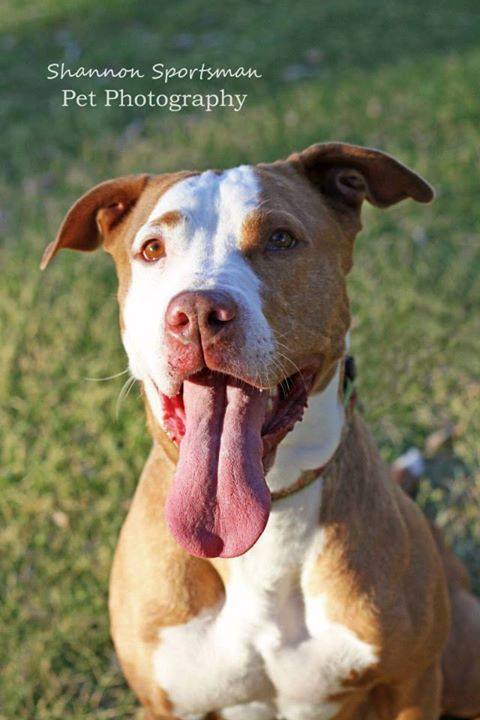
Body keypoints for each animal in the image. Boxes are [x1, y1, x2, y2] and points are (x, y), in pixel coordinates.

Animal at [42, 145, 480, 720]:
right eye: (153, 249)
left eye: (281, 239)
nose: (197, 312)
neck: (266, 523)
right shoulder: (164, 702)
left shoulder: (412, 682)